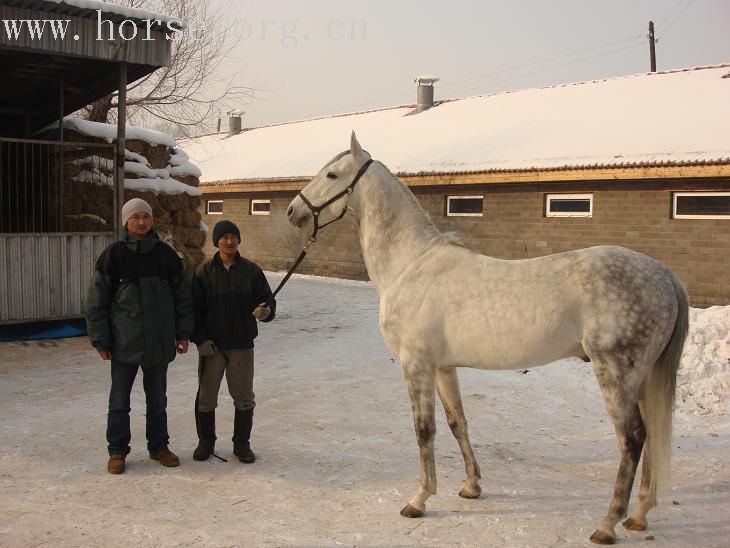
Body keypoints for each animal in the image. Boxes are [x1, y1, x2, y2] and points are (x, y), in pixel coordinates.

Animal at [286, 134, 688, 544]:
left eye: (332, 174)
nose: (293, 211)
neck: (410, 264)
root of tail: (664, 274)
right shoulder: (443, 367)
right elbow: (457, 423)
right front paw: (471, 486)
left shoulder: (416, 364)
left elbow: (424, 430)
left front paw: (418, 500)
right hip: (642, 379)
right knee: (650, 436)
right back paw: (638, 516)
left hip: (616, 375)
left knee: (632, 439)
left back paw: (607, 525)